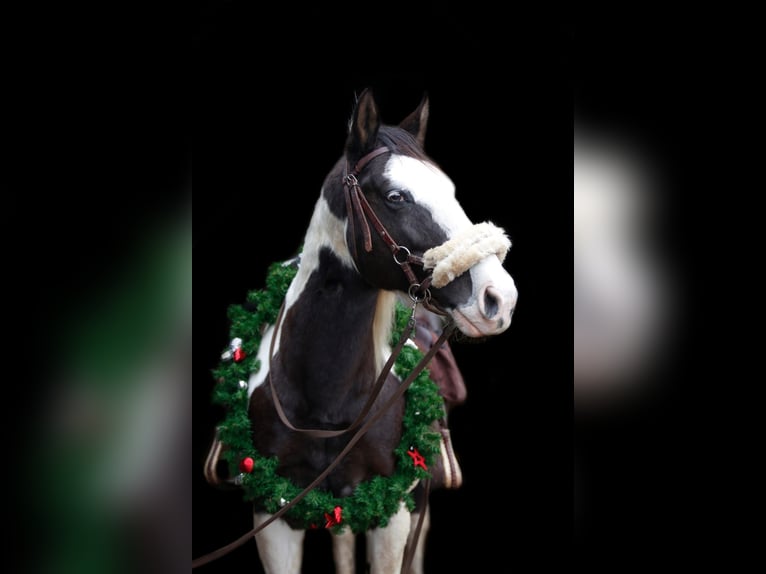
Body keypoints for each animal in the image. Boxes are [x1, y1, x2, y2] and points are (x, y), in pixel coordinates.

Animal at [199, 89, 518, 573]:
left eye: (450, 191)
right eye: (395, 196)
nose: (499, 298)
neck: (323, 400)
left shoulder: (396, 513)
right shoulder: (271, 514)